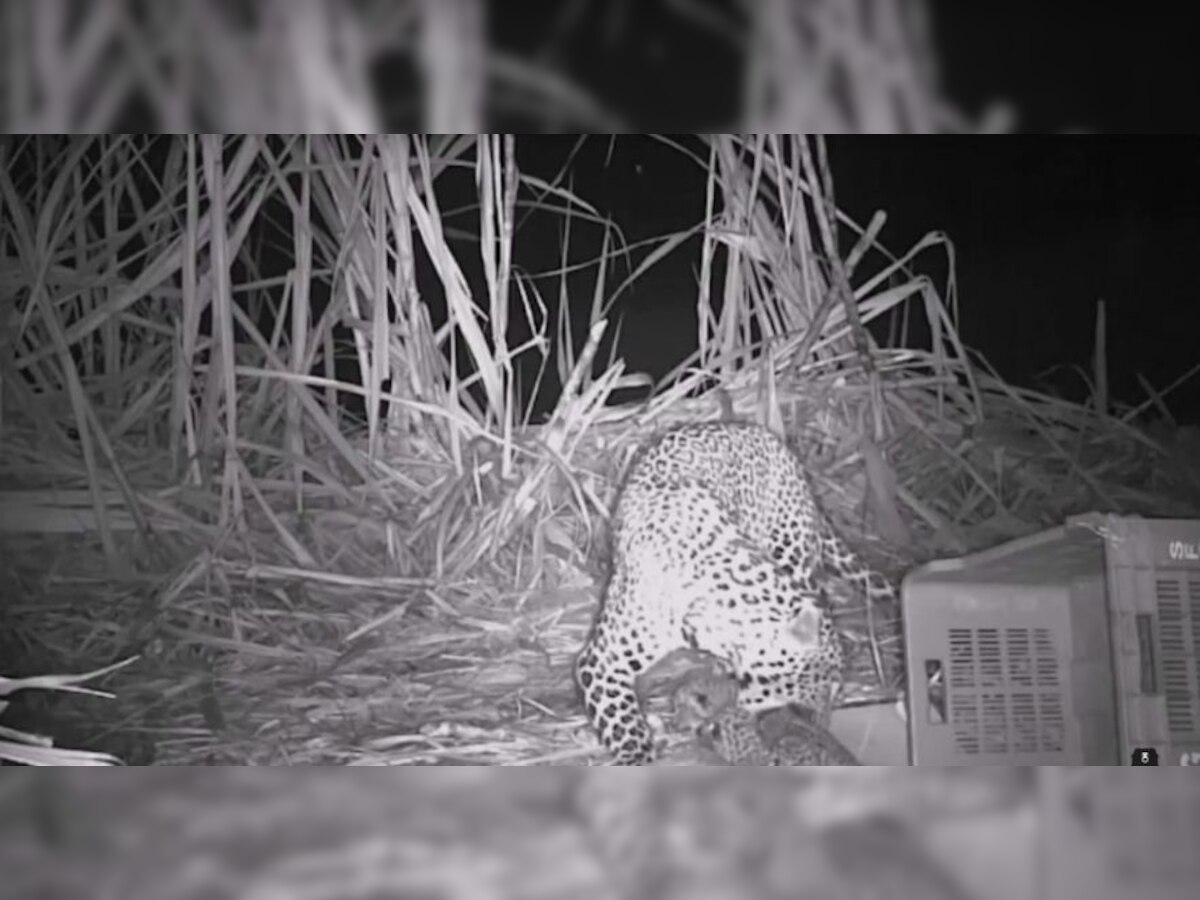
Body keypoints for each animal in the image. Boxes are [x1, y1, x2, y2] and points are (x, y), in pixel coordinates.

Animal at [576, 422, 897, 768]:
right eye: (820, 689)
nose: (820, 725)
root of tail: (755, 429)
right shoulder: (601, 662)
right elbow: (625, 728)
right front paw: (639, 757)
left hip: (791, 548)